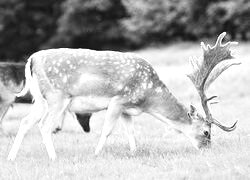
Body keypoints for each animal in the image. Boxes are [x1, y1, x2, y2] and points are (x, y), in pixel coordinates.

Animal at [7, 32, 238, 160]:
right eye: (207, 131)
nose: (207, 150)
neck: (147, 97)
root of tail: (31, 59)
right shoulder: (119, 99)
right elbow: (107, 130)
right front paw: (96, 154)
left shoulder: (128, 109)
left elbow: (131, 132)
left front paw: (134, 152)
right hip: (57, 97)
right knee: (44, 126)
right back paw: (54, 158)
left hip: (40, 99)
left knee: (26, 122)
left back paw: (11, 158)